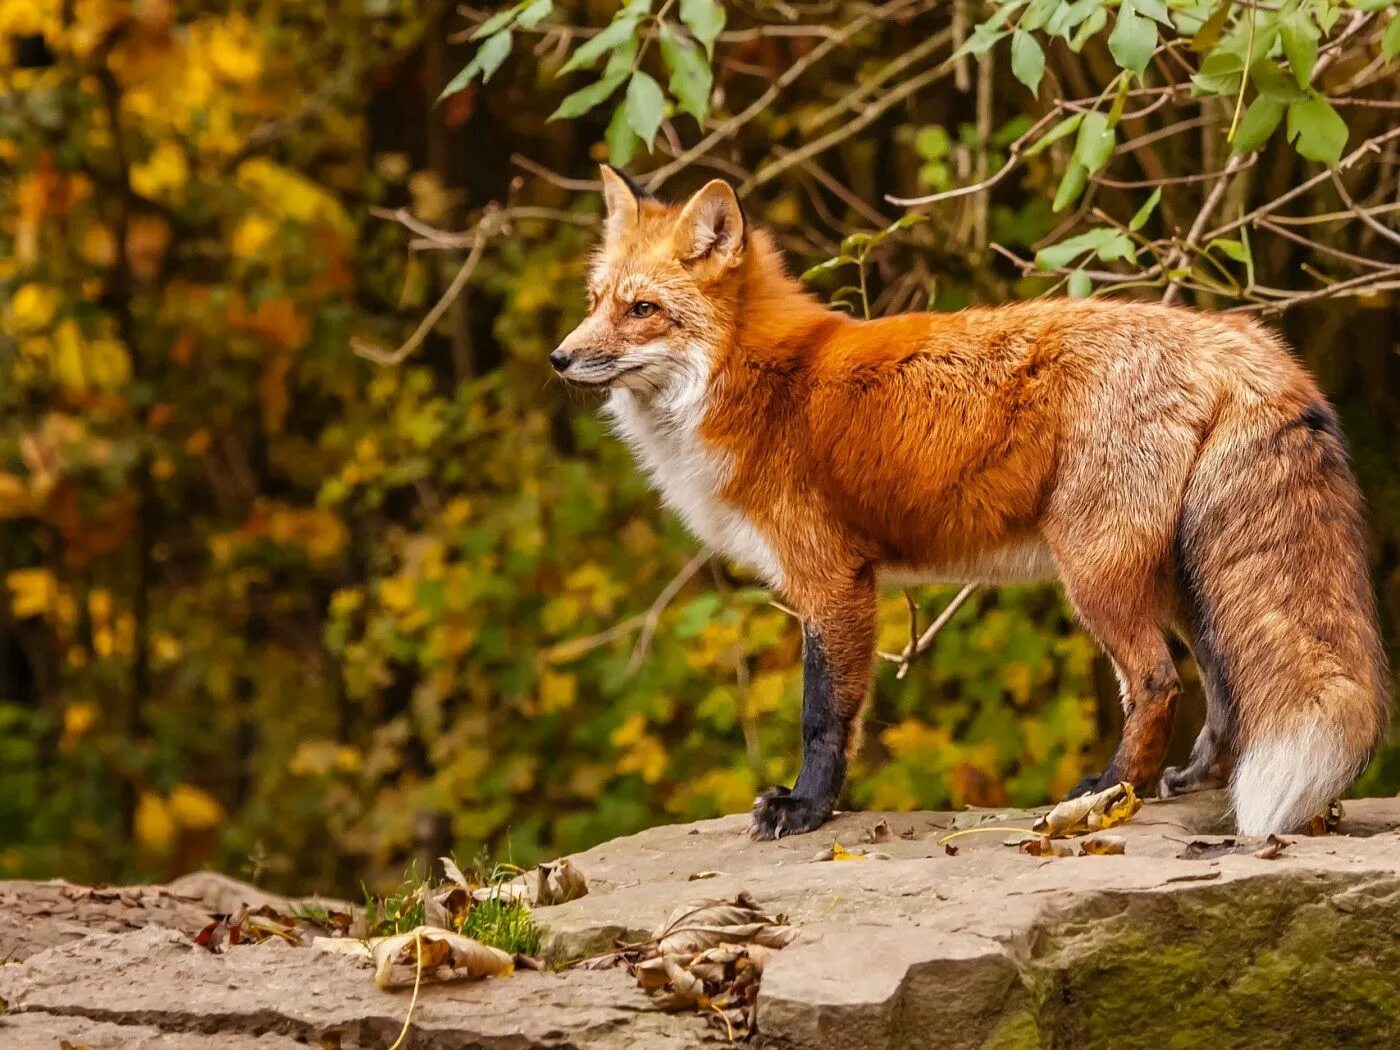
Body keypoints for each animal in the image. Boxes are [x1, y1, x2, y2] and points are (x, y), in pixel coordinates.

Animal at [551, 162, 1394, 840]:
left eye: (641, 310)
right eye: (594, 299)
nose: (560, 357)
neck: (753, 380)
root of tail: (1239, 337)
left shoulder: (834, 581)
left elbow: (825, 715)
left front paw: (805, 809)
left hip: (1097, 569)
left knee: (1158, 683)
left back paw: (1108, 793)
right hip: (1186, 578)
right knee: (1223, 694)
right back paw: (1183, 783)